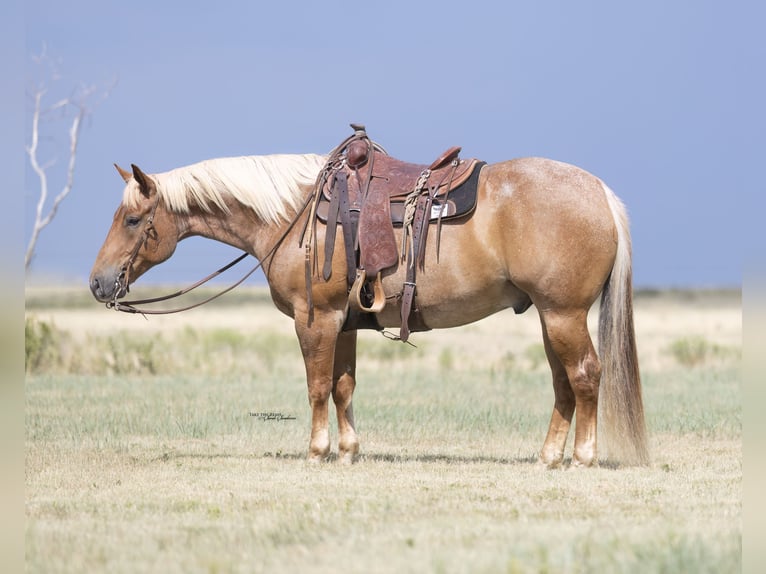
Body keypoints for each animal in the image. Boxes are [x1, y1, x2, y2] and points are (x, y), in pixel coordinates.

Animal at [89, 146, 649, 468]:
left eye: (134, 220)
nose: (98, 282)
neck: (295, 216)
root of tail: (599, 193)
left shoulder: (315, 320)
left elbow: (317, 387)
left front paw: (317, 452)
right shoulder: (344, 324)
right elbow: (343, 387)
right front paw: (348, 451)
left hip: (563, 314)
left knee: (584, 375)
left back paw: (583, 457)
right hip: (551, 318)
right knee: (564, 383)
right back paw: (550, 457)